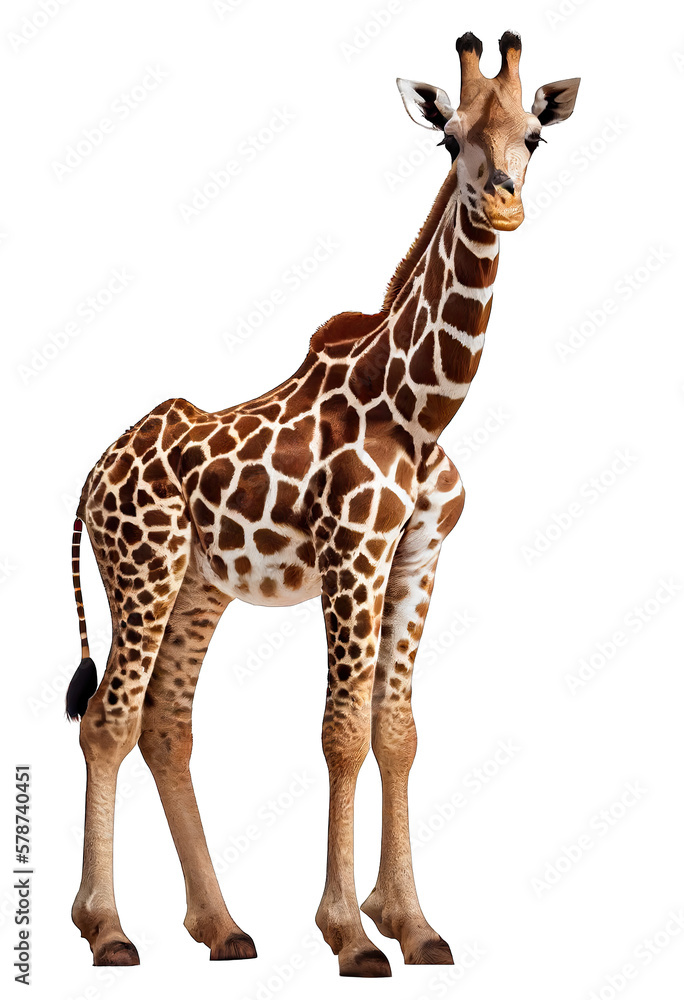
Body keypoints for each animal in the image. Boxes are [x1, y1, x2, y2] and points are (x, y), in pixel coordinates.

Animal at [66, 31, 579, 978]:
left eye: (535, 135)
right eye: (449, 137)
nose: (503, 204)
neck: (420, 409)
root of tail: (92, 475)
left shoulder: (416, 559)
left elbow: (396, 731)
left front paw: (413, 924)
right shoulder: (351, 554)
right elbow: (342, 733)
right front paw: (351, 935)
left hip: (200, 587)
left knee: (166, 724)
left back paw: (222, 927)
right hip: (142, 569)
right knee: (108, 719)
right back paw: (109, 929)